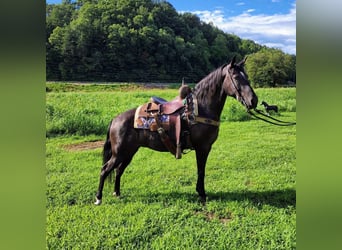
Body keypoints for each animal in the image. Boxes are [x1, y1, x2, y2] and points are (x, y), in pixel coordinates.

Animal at [95, 56, 258, 205]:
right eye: (236, 77)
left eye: (246, 76)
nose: (253, 101)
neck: (199, 109)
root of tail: (115, 119)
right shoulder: (203, 148)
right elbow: (201, 170)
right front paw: (202, 194)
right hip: (119, 153)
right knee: (104, 170)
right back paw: (98, 198)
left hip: (129, 152)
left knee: (118, 170)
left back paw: (117, 193)